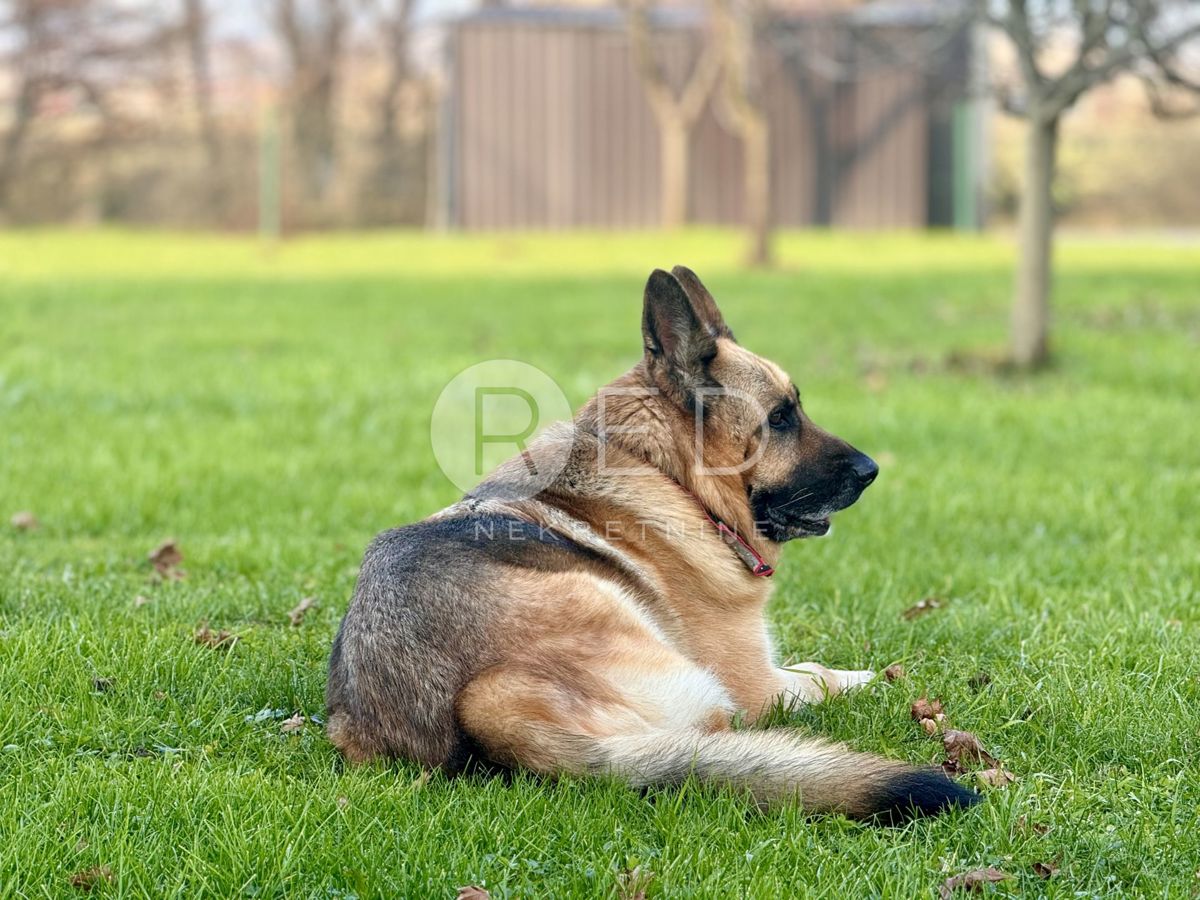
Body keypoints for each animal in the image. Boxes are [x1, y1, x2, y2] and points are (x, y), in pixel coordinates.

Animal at [326, 267, 974, 825]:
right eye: (781, 417)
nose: (872, 471)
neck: (669, 475)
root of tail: (485, 713)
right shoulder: (758, 684)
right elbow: (821, 675)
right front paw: (882, 677)